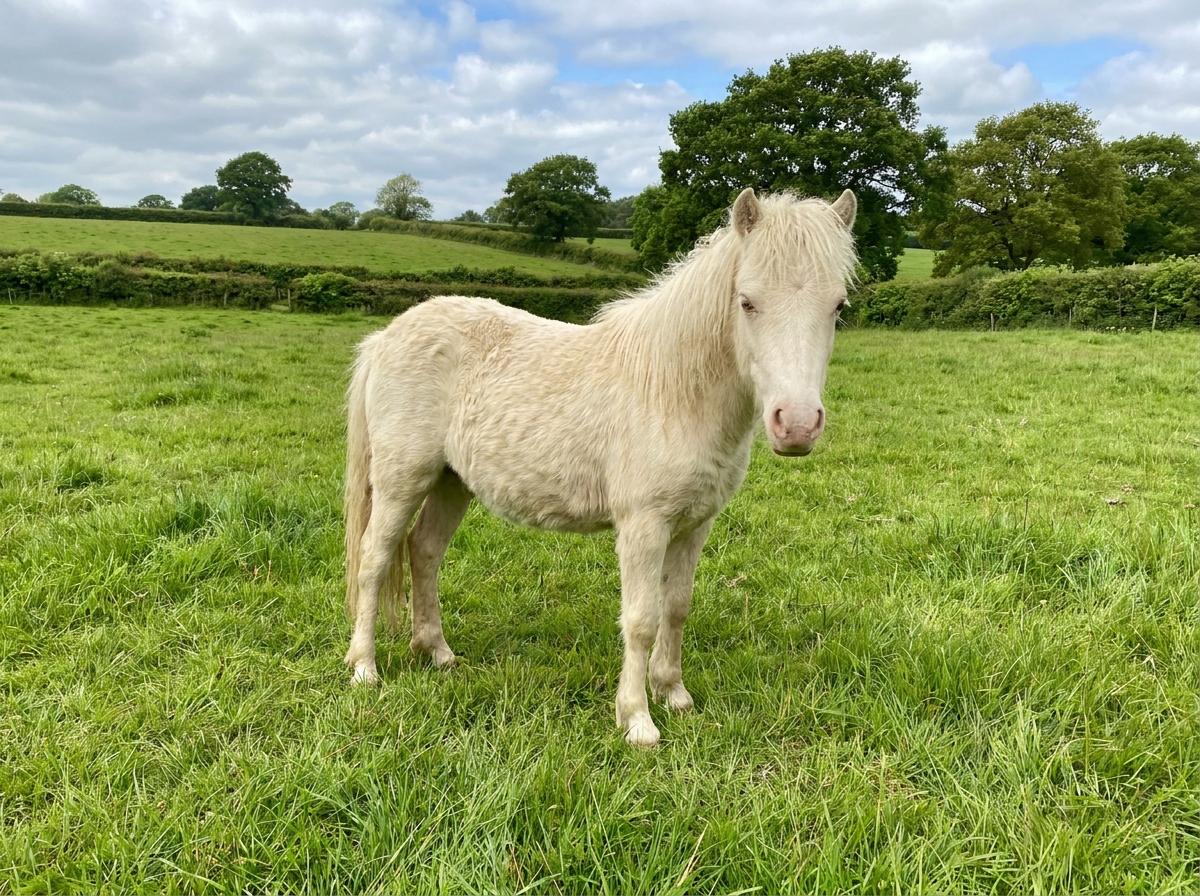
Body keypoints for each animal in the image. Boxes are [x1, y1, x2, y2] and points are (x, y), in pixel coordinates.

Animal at [342, 187, 858, 746]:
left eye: (838, 306)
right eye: (747, 301)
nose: (798, 425)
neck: (673, 390)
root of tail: (383, 338)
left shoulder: (694, 525)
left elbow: (676, 607)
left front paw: (673, 694)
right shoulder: (643, 526)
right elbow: (641, 618)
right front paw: (637, 720)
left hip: (451, 482)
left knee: (425, 551)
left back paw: (436, 652)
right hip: (402, 479)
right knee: (374, 559)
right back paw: (364, 667)